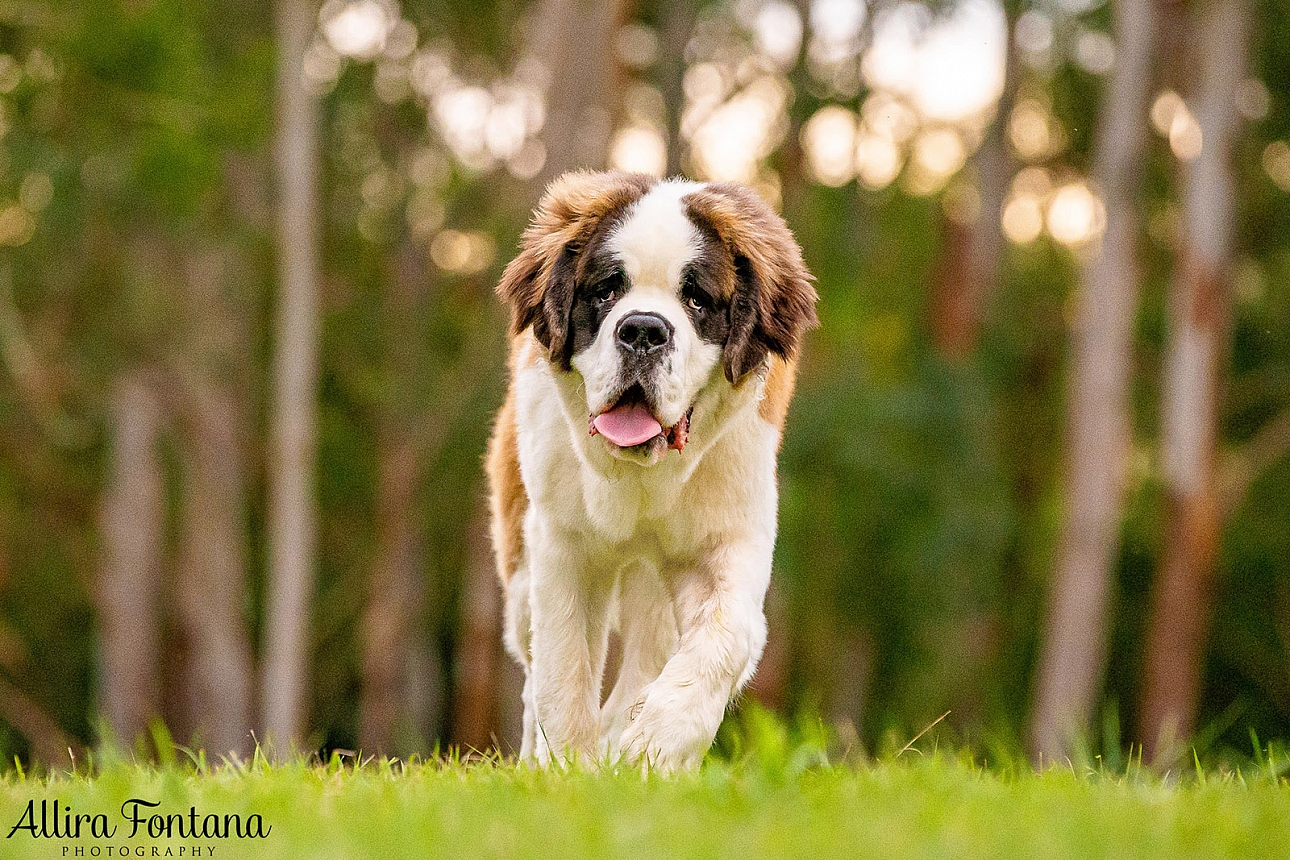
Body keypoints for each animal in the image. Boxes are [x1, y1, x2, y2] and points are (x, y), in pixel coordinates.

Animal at [485, 170, 815, 773]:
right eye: (606, 291)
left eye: (697, 299)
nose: (642, 330)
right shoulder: (561, 545)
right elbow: (564, 669)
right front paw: (568, 768)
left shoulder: (727, 541)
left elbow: (728, 635)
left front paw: (657, 741)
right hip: (519, 570)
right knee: (534, 671)